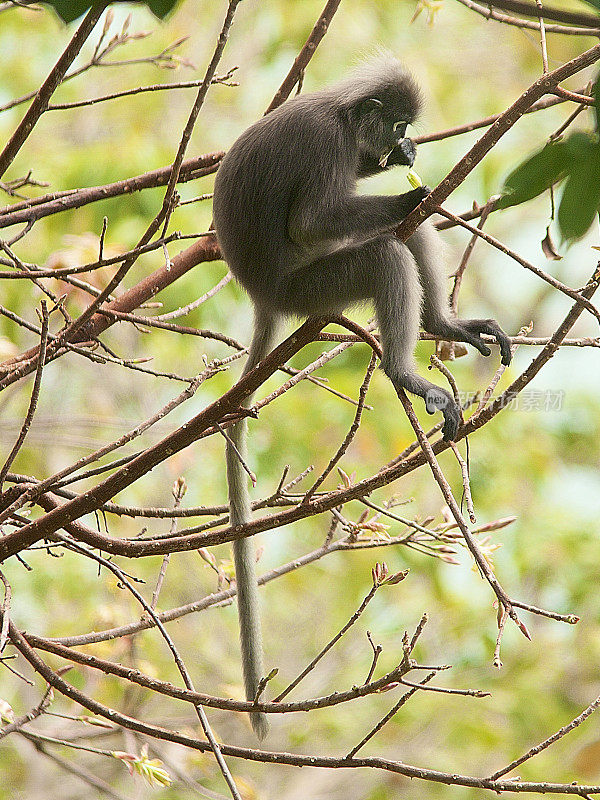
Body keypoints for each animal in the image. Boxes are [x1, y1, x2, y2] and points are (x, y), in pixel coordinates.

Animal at [211, 54, 510, 736]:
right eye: (397, 124)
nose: (404, 144)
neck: (347, 119)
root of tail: (264, 293)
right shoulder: (329, 147)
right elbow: (310, 221)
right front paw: (409, 190)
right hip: (312, 286)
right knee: (385, 253)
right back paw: (405, 371)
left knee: (406, 241)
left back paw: (444, 326)